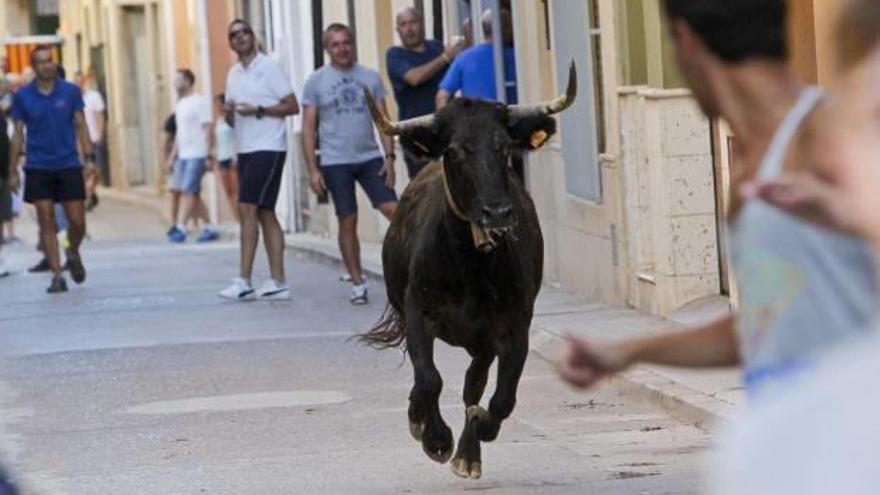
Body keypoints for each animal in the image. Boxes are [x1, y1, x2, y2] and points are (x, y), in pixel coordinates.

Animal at [360, 64, 576, 478]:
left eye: (503, 147)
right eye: (455, 151)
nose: (497, 213)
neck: (471, 267)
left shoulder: (513, 328)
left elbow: (500, 398)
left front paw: (473, 437)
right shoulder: (417, 313)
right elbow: (429, 378)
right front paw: (434, 437)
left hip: (484, 343)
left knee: (473, 385)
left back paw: (468, 449)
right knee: (430, 380)